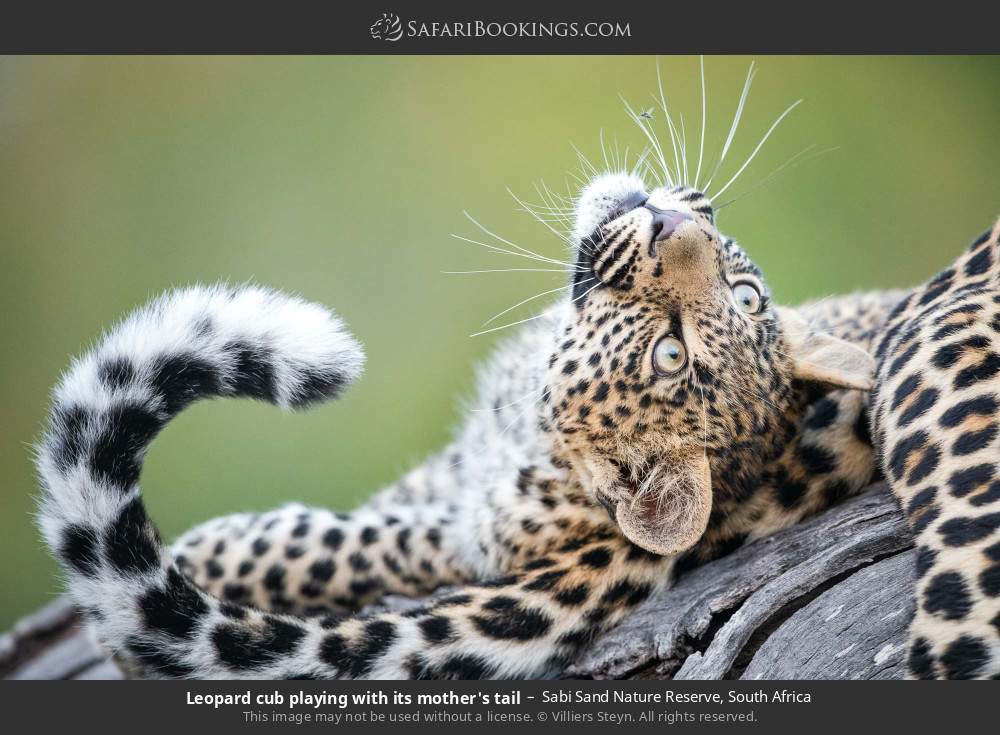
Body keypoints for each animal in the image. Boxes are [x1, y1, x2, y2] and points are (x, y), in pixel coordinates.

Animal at [33, 170, 1000, 680]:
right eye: (747, 294)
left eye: (672, 352)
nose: (670, 217)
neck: (524, 423)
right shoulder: (455, 464)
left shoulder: (464, 535)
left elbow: (340, 543)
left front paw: (215, 548)